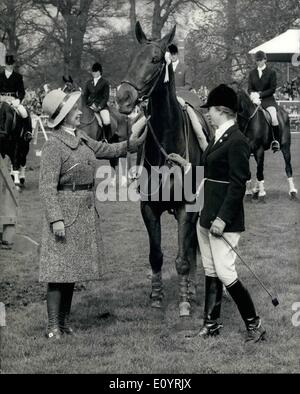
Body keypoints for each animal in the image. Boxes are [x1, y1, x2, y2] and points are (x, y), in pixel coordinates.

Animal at [116, 22, 210, 318]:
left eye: (156, 59)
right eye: (132, 58)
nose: (123, 97)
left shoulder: (187, 208)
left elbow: (182, 258)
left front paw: (183, 301)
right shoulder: (149, 208)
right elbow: (156, 256)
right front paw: (157, 297)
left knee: (191, 249)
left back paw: (192, 290)